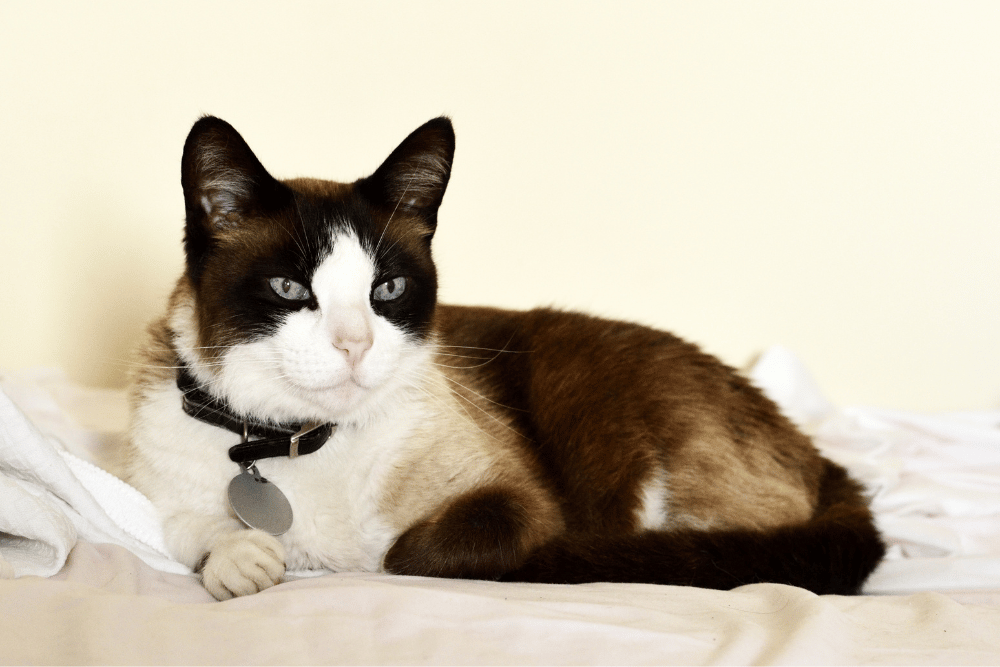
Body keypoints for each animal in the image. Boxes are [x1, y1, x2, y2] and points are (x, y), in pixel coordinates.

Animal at [123, 115, 884, 600]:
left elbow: (404, 553)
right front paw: (244, 557)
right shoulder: (160, 478)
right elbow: (182, 528)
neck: (290, 445)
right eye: (288, 289)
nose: (355, 343)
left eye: (387, 290)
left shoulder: (513, 498)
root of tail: (819, 455)